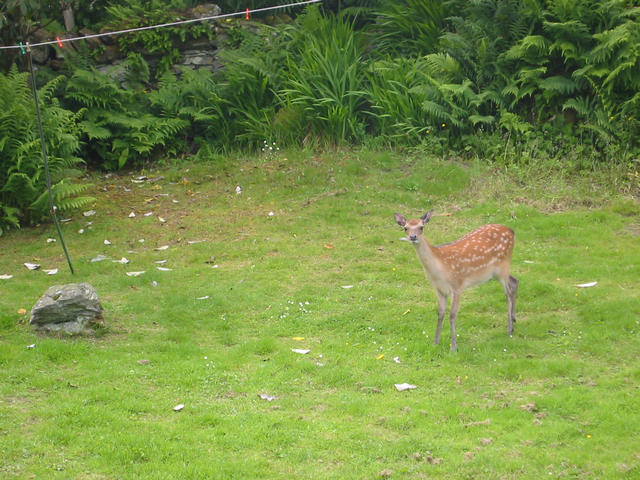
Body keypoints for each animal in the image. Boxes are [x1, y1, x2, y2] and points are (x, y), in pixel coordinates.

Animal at [392, 212, 516, 350]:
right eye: (405, 228)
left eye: (421, 227)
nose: (413, 237)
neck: (439, 270)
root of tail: (511, 231)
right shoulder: (438, 289)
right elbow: (440, 313)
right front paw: (435, 342)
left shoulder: (457, 285)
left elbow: (452, 315)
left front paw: (453, 347)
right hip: (495, 273)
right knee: (514, 281)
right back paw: (513, 321)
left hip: (503, 265)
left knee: (508, 292)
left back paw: (509, 329)